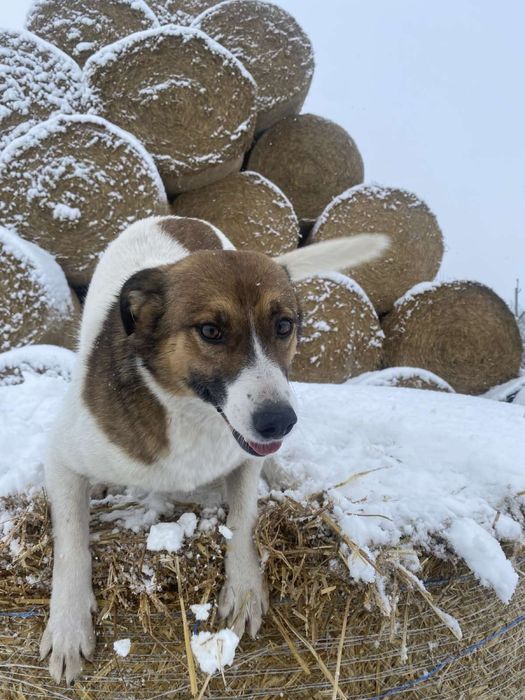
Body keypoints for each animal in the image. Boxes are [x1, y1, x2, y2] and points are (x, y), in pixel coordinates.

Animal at [39, 215, 387, 683]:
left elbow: (244, 520)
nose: (279, 421)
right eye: (210, 331)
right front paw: (68, 625)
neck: (189, 412)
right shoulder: (60, 456)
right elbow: (71, 545)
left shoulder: (243, 458)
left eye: (284, 326)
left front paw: (244, 588)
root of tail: (176, 218)